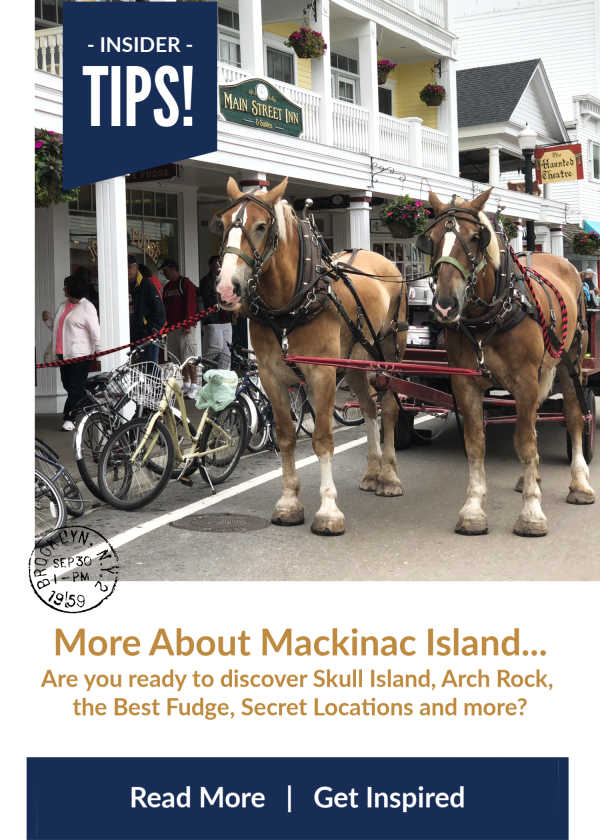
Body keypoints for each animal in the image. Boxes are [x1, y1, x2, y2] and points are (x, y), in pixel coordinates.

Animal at [214, 177, 408, 536]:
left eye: (261, 226)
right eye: (223, 224)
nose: (226, 289)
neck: (290, 305)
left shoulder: (323, 374)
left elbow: (322, 439)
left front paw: (329, 510)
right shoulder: (271, 376)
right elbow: (286, 436)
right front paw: (289, 502)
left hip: (389, 353)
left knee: (387, 409)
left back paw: (389, 477)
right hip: (356, 363)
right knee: (368, 408)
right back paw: (372, 472)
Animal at [422, 187, 596, 536]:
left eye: (476, 237)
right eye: (431, 239)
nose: (446, 305)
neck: (491, 314)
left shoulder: (525, 382)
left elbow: (525, 443)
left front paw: (531, 513)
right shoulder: (465, 383)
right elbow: (476, 443)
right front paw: (473, 510)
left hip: (571, 365)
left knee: (573, 418)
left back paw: (580, 484)